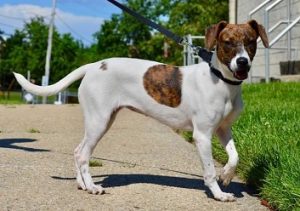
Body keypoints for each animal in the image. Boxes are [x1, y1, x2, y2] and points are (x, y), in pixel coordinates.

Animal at [14, 20, 268, 203]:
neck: (222, 81)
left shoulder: (224, 130)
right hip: (99, 121)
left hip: (101, 120)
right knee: (83, 154)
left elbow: (235, 156)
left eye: (250, 42)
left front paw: (227, 175)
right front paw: (218, 193)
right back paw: (92, 187)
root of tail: (94, 65)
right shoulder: (202, 135)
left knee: (78, 151)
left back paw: (82, 185)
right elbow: (208, 171)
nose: (243, 62)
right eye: (228, 42)